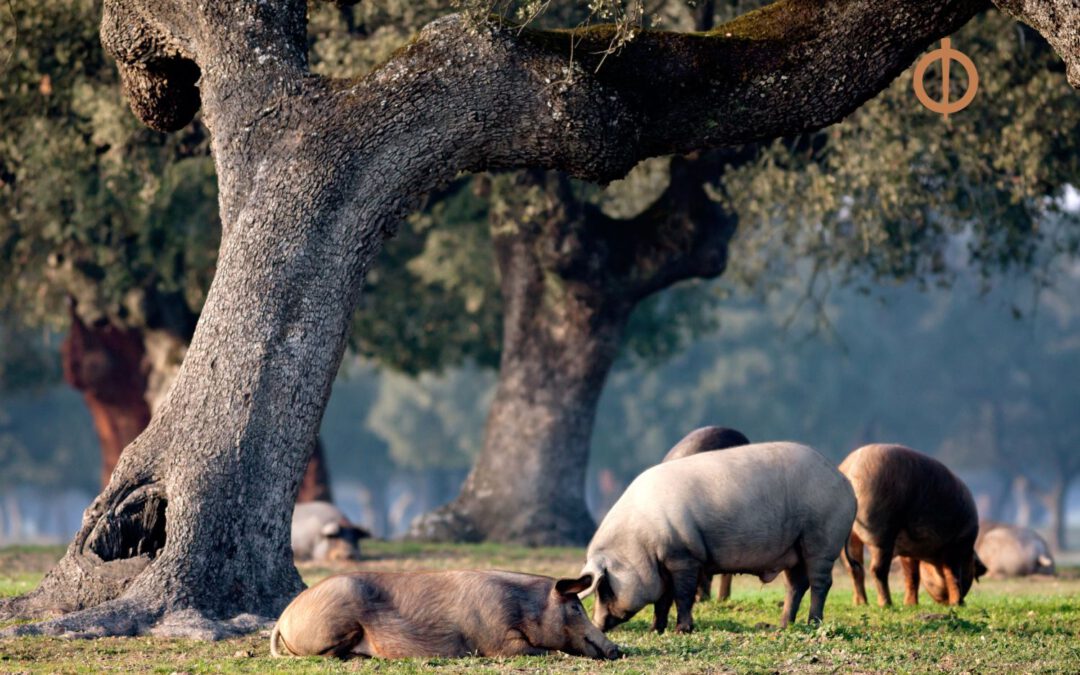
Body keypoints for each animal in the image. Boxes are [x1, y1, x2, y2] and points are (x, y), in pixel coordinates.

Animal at [578, 442, 855, 630]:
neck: (640, 542)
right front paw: (656, 629)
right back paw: (784, 625)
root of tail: (845, 482)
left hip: (822, 538)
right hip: (793, 548)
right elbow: (662, 600)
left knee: (820, 582)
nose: (597, 625)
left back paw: (813, 624)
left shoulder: (684, 556)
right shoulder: (663, 565)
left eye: (604, 588)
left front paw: (682, 630)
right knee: (796, 584)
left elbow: (683, 595)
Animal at [833, 444, 989, 609]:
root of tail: (850, 470)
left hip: (850, 536)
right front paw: (958, 604)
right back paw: (887, 604)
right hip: (881, 534)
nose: (948, 603)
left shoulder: (909, 551)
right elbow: (952, 575)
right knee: (877, 570)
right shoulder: (956, 544)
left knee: (855, 569)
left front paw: (910, 605)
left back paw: (861, 603)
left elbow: (912, 576)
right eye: (972, 568)